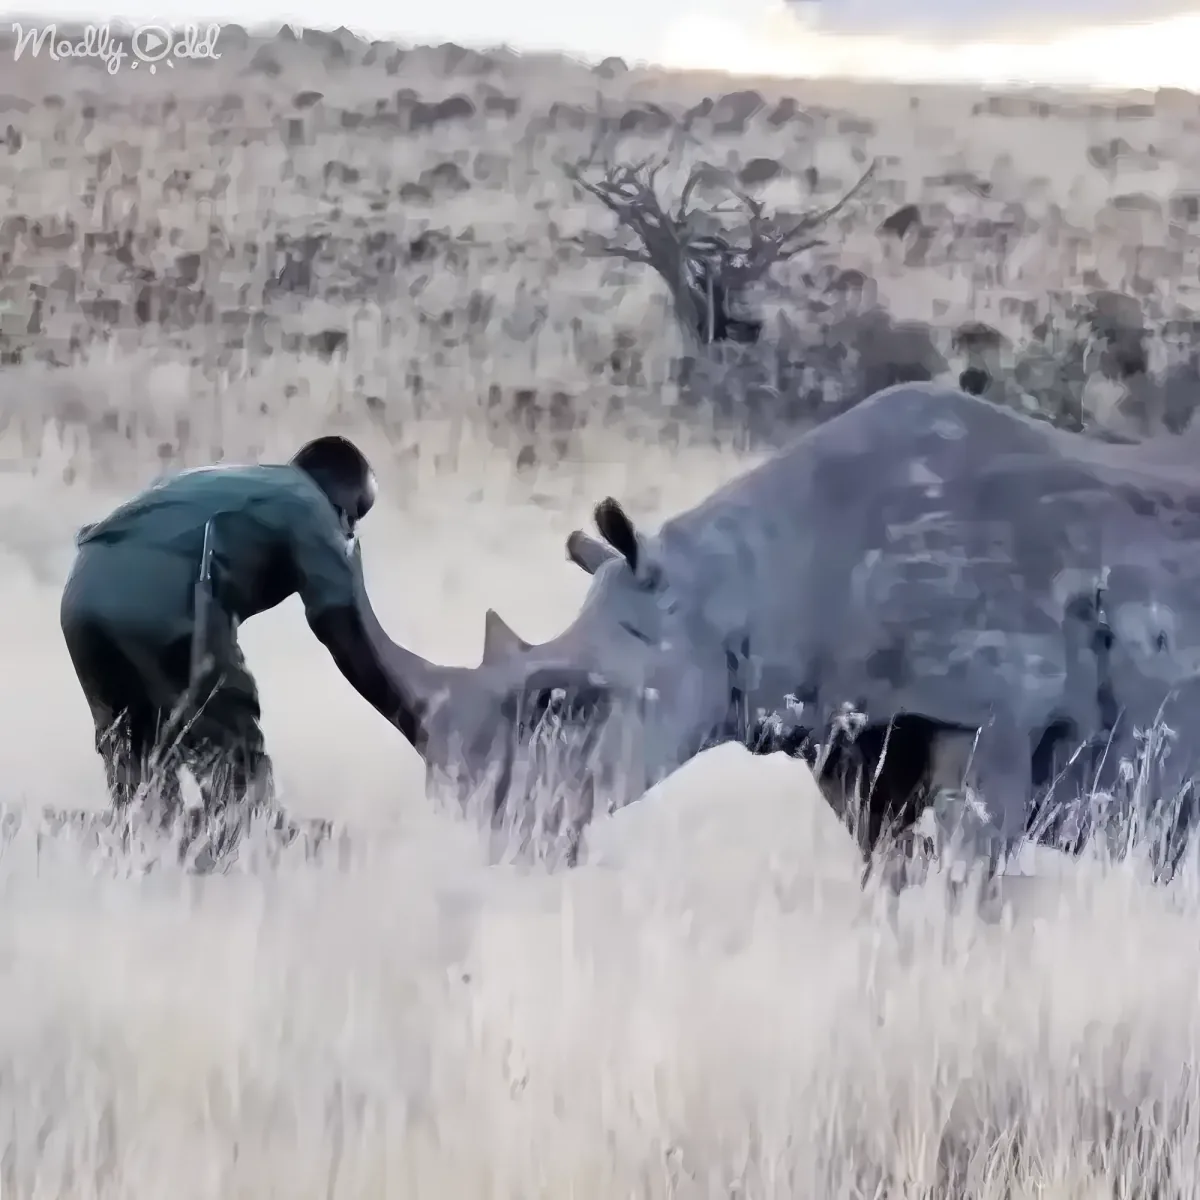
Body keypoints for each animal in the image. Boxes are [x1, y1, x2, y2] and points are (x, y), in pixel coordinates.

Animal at [358, 382, 1200, 883]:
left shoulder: (992, 715)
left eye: (564, 704)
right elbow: (889, 869)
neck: (741, 585)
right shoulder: (852, 736)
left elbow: (971, 872)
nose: (490, 827)